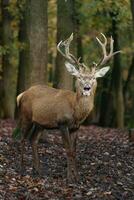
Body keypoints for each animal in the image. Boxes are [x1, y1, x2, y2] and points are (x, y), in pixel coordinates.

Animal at [16, 33, 120, 183]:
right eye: (80, 77)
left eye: (93, 78)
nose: (87, 88)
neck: (76, 112)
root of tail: (22, 94)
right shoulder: (62, 123)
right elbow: (68, 149)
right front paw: (69, 178)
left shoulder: (76, 127)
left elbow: (74, 151)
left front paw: (77, 177)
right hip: (26, 115)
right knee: (22, 138)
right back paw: (22, 168)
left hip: (40, 123)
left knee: (33, 139)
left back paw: (38, 170)